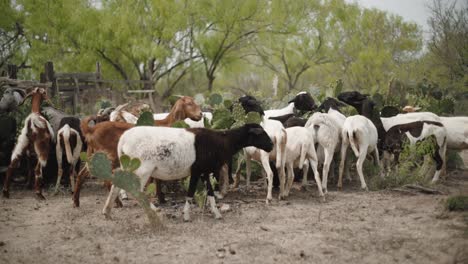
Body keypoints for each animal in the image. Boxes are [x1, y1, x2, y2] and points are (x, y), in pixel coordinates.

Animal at [73, 96, 203, 207]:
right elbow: (153, 180)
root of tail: (91, 129)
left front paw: (161, 198)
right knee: (106, 179)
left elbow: (158, 179)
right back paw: (118, 203)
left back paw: (76, 202)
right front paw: (154, 199)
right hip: (109, 155)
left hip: (92, 154)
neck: (166, 124)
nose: (201, 114)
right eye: (189, 103)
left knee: (81, 175)